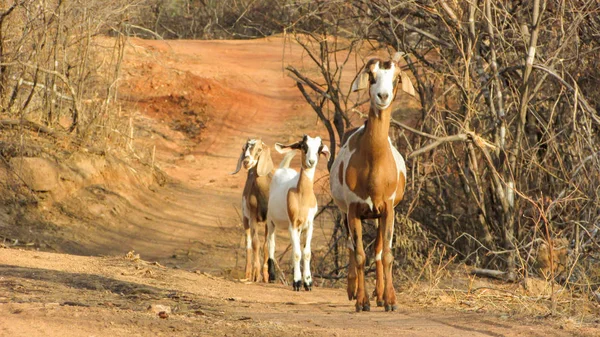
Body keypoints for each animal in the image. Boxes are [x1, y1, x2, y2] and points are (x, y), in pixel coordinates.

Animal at [328, 52, 418, 312]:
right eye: (371, 75)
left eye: (396, 78)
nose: (383, 96)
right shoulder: (353, 209)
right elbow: (359, 253)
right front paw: (362, 301)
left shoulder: (388, 208)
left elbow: (385, 253)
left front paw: (390, 300)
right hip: (346, 213)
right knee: (350, 245)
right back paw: (353, 290)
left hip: (378, 215)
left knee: (377, 249)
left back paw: (379, 295)